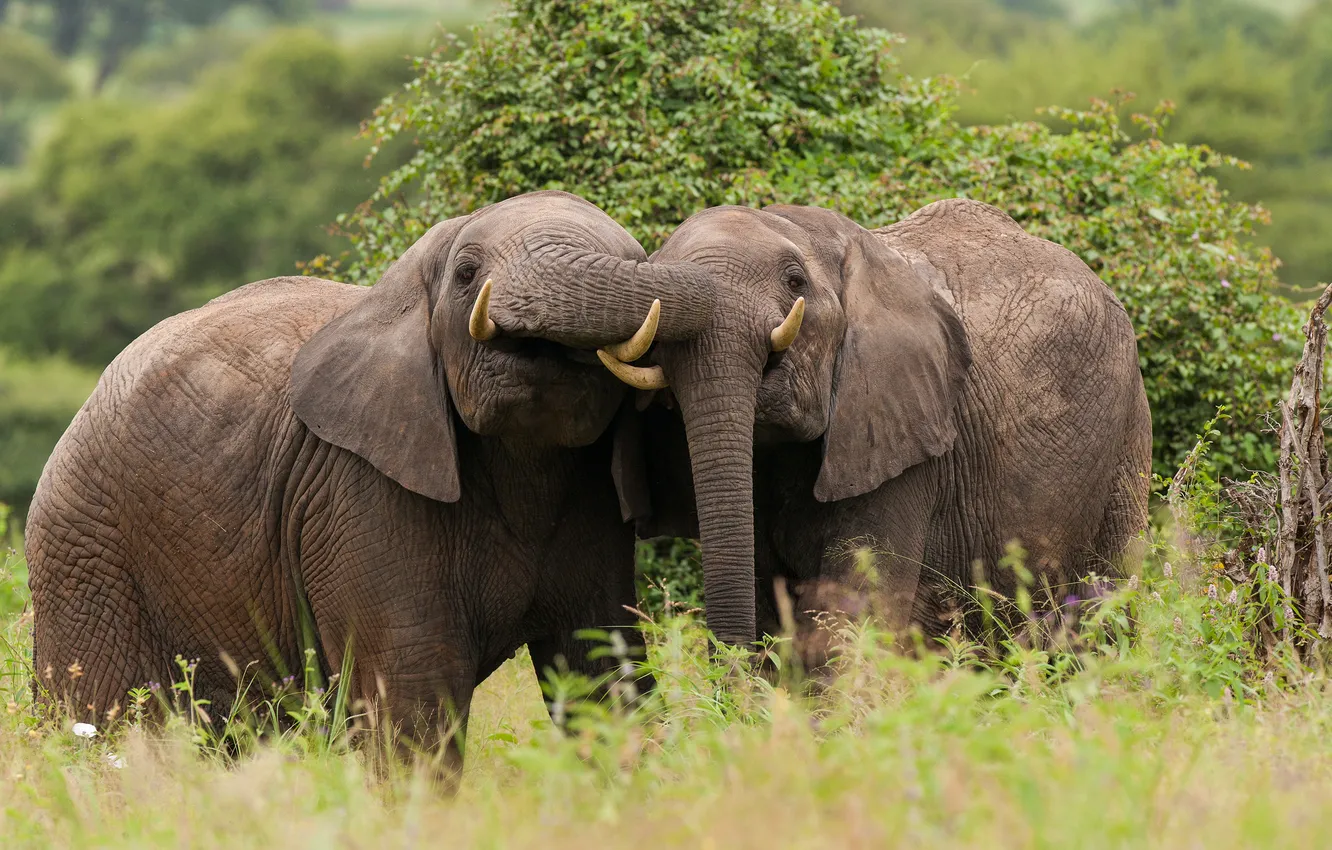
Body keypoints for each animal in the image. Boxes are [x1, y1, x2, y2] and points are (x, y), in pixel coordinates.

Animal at [25, 194, 719, 772]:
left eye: (634, 263)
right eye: (466, 273)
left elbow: (601, 668)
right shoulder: (356, 489)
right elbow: (414, 688)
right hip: (85, 552)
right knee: (113, 726)